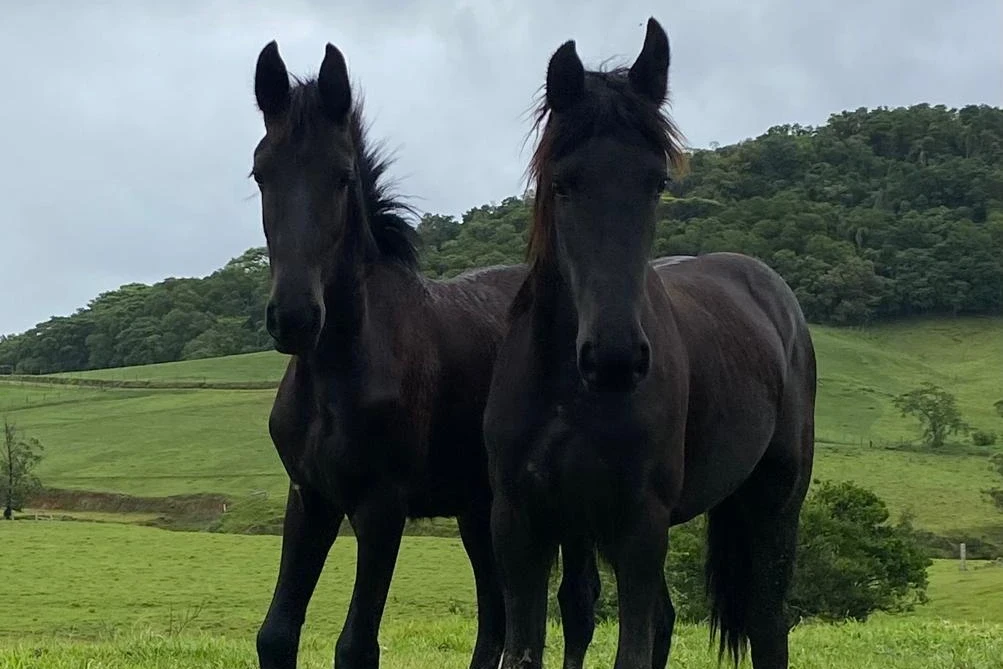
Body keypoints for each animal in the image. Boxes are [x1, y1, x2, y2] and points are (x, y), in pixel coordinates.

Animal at [249, 41, 599, 669]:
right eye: (261, 172)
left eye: (342, 177)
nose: (294, 317)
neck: (340, 368)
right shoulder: (310, 498)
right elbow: (276, 634)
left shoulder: (381, 507)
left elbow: (356, 646)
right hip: (478, 509)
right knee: (495, 617)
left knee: (575, 607)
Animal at [483, 18, 817, 669]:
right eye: (562, 183)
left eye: (657, 182)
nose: (614, 359)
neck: (566, 391)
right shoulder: (521, 525)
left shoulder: (638, 527)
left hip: (775, 504)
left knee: (768, 624)